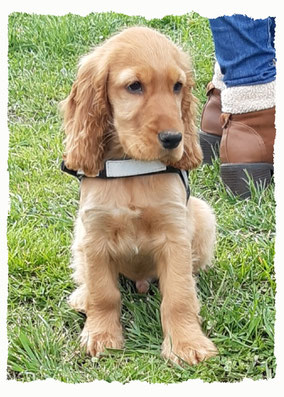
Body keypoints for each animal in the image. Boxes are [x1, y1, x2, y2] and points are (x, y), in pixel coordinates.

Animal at [61, 25, 216, 366]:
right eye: (134, 86)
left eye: (177, 86)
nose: (174, 138)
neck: (131, 167)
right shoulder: (94, 234)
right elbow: (103, 293)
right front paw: (101, 336)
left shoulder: (175, 235)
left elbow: (179, 296)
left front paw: (187, 344)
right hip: (79, 231)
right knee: (85, 277)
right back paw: (81, 296)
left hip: (202, 214)